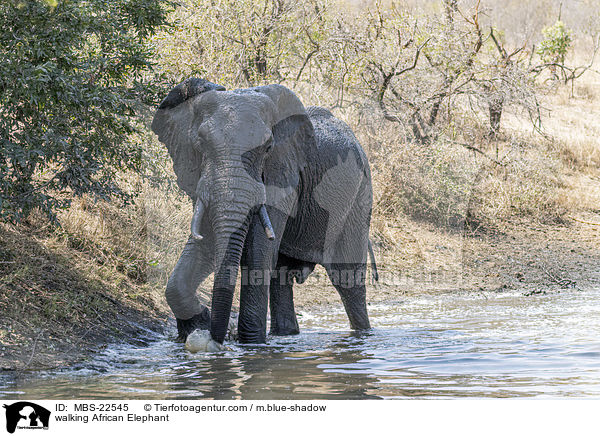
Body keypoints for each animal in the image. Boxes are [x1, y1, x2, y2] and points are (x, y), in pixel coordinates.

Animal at [151, 78, 376, 350]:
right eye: (200, 143)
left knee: (348, 281)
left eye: (268, 148)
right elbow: (208, 243)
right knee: (282, 276)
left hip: (359, 198)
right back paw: (286, 335)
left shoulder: (284, 173)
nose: (217, 338)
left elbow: (258, 251)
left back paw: (362, 336)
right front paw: (198, 324)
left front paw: (251, 345)